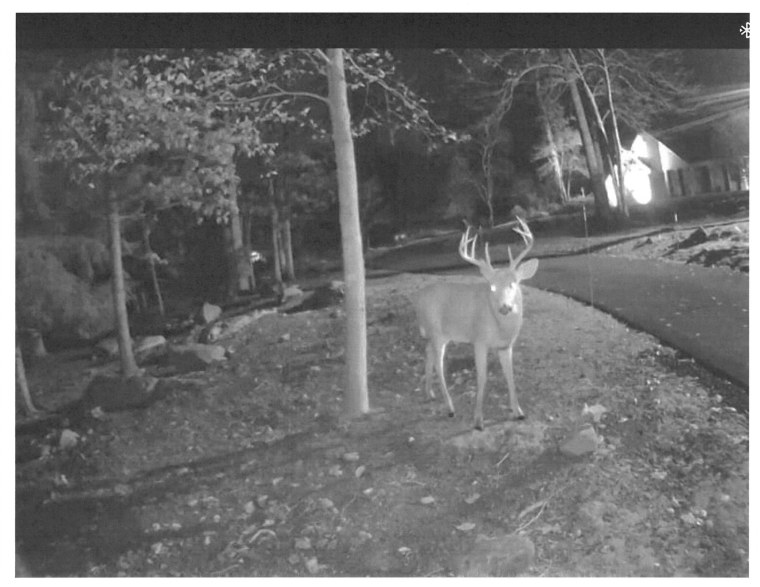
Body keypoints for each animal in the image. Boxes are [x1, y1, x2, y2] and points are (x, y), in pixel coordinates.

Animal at [412, 218, 536, 430]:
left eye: (513, 283)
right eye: (492, 287)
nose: (505, 307)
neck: (501, 329)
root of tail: (418, 298)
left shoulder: (506, 345)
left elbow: (510, 375)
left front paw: (518, 412)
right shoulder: (479, 340)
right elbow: (482, 378)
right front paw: (478, 420)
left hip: (435, 333)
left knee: (427, 353)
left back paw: (430, 393)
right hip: (437, 332)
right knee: (438, 363)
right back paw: (450, 408)